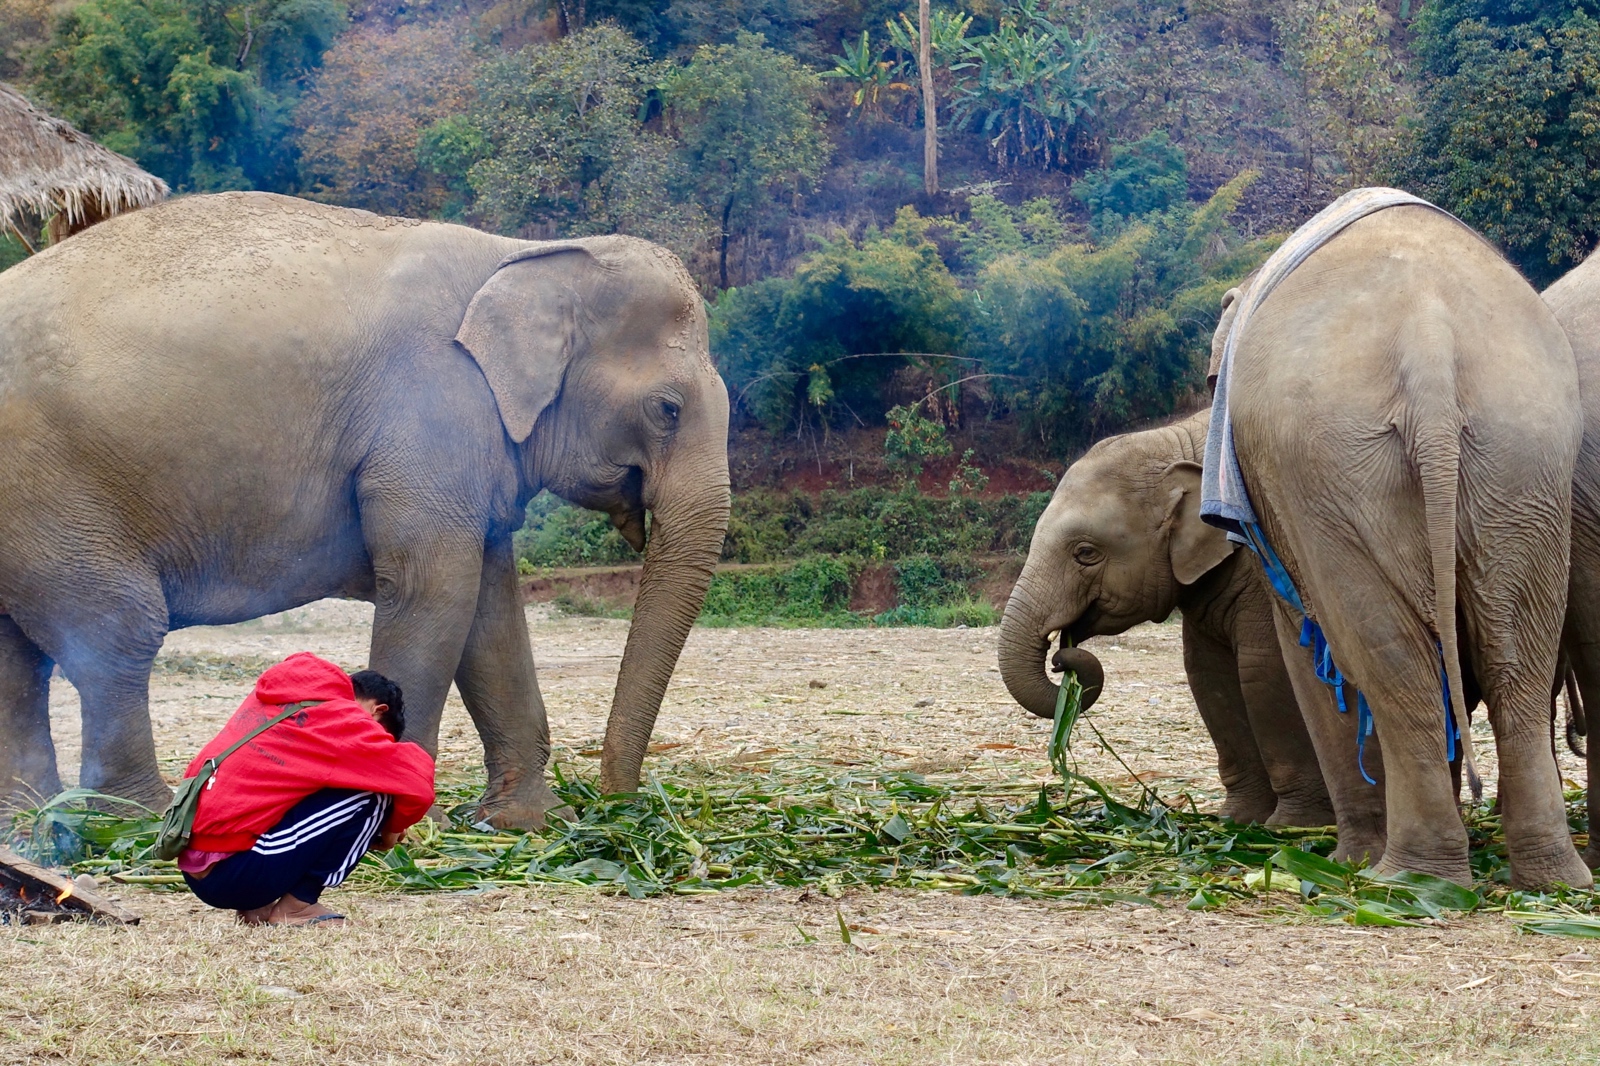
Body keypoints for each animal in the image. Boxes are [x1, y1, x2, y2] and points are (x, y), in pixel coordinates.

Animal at [0, 192, 731, 825]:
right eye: (667, 409)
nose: (617, 802)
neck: (523, 254)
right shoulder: (431, 409)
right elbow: (434, 587)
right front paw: (406, 823)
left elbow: (490, 605)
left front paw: (526, 824)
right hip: (53, 493)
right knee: (116, 632)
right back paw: (137, 819)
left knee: (19, 656)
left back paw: (29, 819)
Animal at [997, 408, 1335, 828]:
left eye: (1086, 553)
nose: (1061, 660)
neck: (1177, 442)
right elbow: (1209, 676)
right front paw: (1235, 821)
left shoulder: (1261, 565)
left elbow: (1265, 670)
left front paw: (1290, 828)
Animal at [1210, 196, 1589, 889]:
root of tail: (1427, 337)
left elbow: (1306, 645)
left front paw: (1345, 859)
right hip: (1525, 453)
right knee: (1514, 651)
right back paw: (1543, 880)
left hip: (1331, 463)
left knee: (1382, 652)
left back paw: (1399, 880)